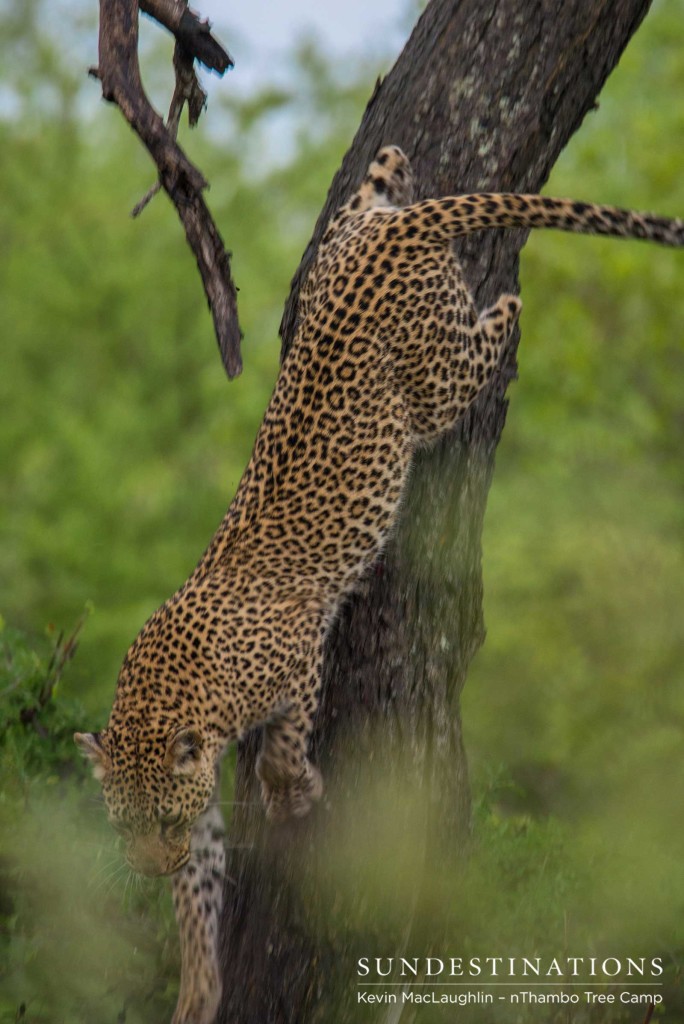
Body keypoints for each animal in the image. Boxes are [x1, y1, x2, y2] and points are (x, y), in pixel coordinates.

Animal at [76, 146, 684, 1024]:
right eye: (123, 823)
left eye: (158, 816)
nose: (149, 865)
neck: (169, 695)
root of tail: (400, 235)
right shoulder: (207, 789)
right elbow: (201, 893)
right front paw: (198, 986)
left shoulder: (299, 659)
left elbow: (282, 747)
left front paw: (297, 793)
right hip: (344, 251)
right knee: (368, 196)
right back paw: (389, 171)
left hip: (431, 382)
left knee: (480, 344)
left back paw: (511, 301)